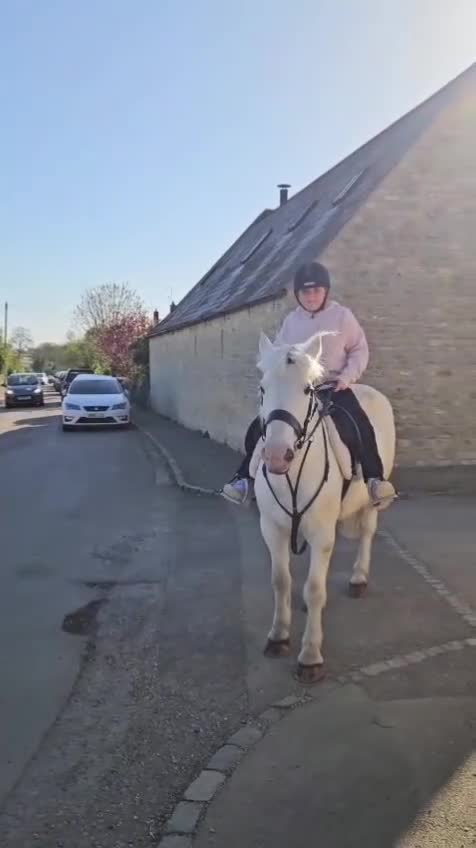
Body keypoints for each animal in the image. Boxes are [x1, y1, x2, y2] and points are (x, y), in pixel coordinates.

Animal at [252, 330, 396, 683]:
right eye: (263, 388)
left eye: (307, 389)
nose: (276, 456)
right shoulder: (272, 529)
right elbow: (281, 581)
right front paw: (279, 637)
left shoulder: (321, 532)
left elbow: (315, 589)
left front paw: (310, 656)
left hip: (371, 501)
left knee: (367, 534)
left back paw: (358, 579)